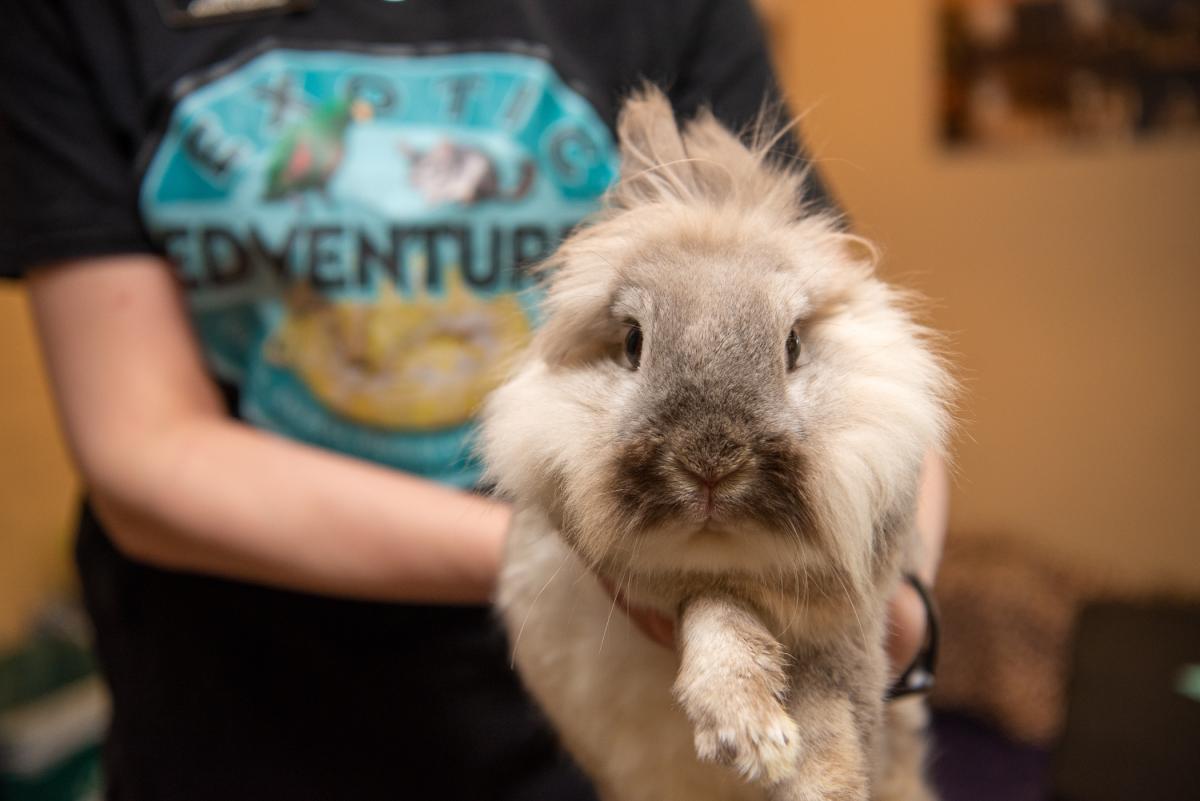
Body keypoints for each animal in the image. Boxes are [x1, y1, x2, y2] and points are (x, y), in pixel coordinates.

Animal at [479, 86, 953, 801]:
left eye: (792, 344)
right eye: (633, 343)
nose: (710, 464)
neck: (723, 550)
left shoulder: (853, 610)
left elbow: (834, 696)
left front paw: (819, 779)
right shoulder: (662, 586)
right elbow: (714, 608)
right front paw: (752, 732)